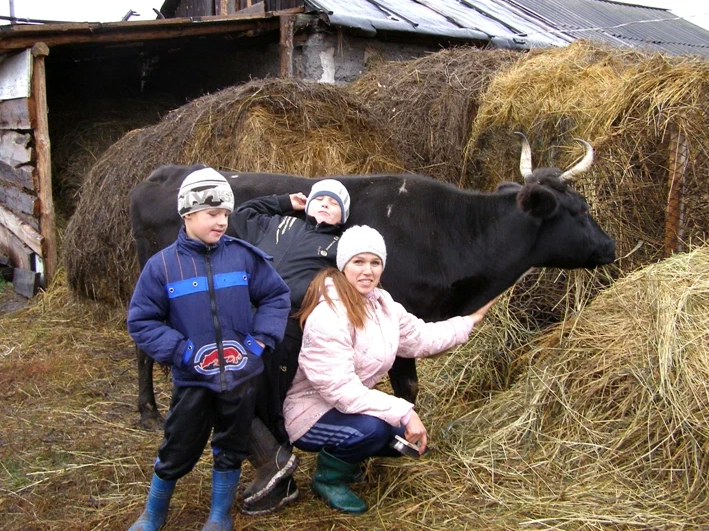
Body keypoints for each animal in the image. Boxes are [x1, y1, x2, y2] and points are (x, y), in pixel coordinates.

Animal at [131, 136, 612, 428]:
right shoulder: (400, 314)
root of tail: (163, 172)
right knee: (142, 348)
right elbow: (408, 386)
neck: (452, 233)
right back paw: (149, 411)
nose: (610, 247)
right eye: (580, 209)